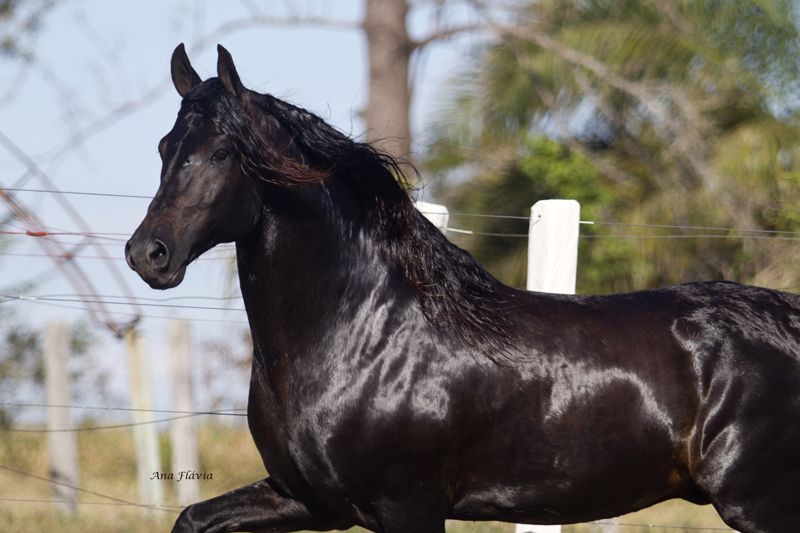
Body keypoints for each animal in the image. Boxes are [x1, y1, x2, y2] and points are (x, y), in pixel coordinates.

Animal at [125, 43, 800, 528]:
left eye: (222, 153)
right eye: (162, 147)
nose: (147, 254)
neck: (363, 336)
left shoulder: (408, 507)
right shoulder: (308, 500)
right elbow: (191, 518)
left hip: (760, 503)